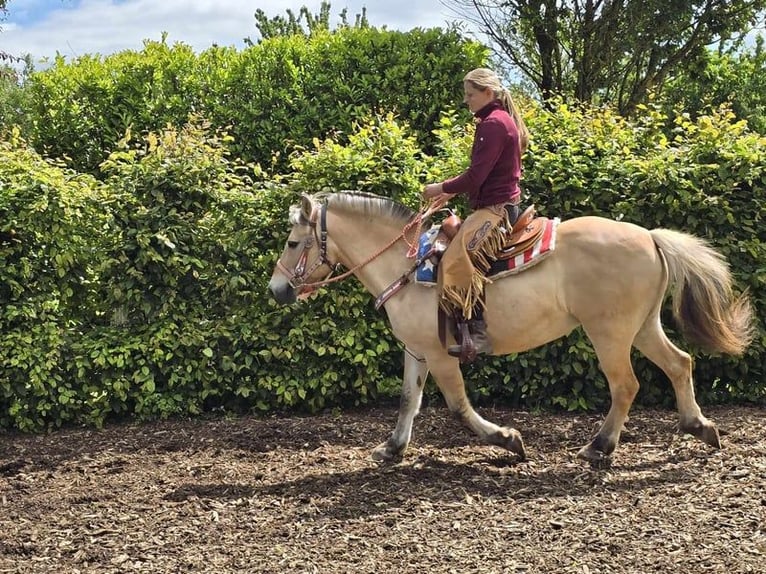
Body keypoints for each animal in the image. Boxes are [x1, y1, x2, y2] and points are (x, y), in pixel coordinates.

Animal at [270, 191, 756, 466]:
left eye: (293, 242)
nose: (276, 290)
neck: (406, 266)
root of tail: (650, 237)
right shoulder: (417, 350)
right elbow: (409, 400)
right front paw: (391, 449)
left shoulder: (441, 354)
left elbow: (457, 406)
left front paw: (506, 440)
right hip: (642, 326)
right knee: (679, 363)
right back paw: (699, 426)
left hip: (610, 332)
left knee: (626, 385)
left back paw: (599, 448)